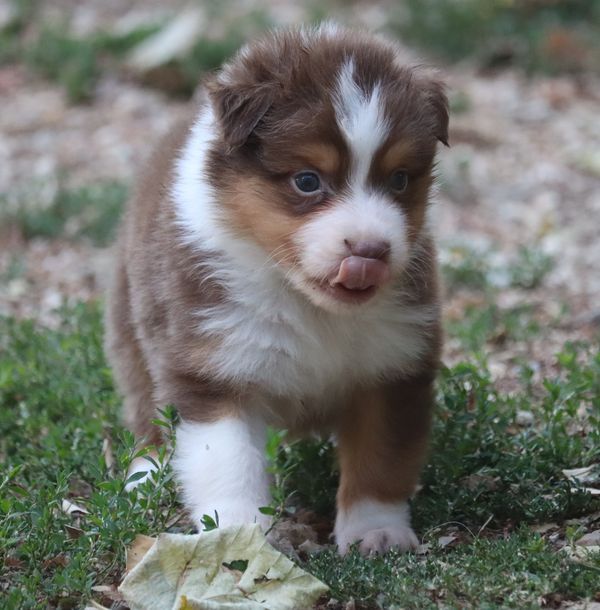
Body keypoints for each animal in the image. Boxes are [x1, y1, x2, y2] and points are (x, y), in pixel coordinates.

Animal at [105, 23, 448, 552]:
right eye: (307, 181)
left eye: (399, 180)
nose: (370, 251)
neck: (308, 303)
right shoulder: (210, 365)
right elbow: (228, 463)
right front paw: (239, 535)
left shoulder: (393, 363)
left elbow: (380, 456)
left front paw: (377, 532)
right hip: (132, 323)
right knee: (145, 406)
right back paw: (144, 475)